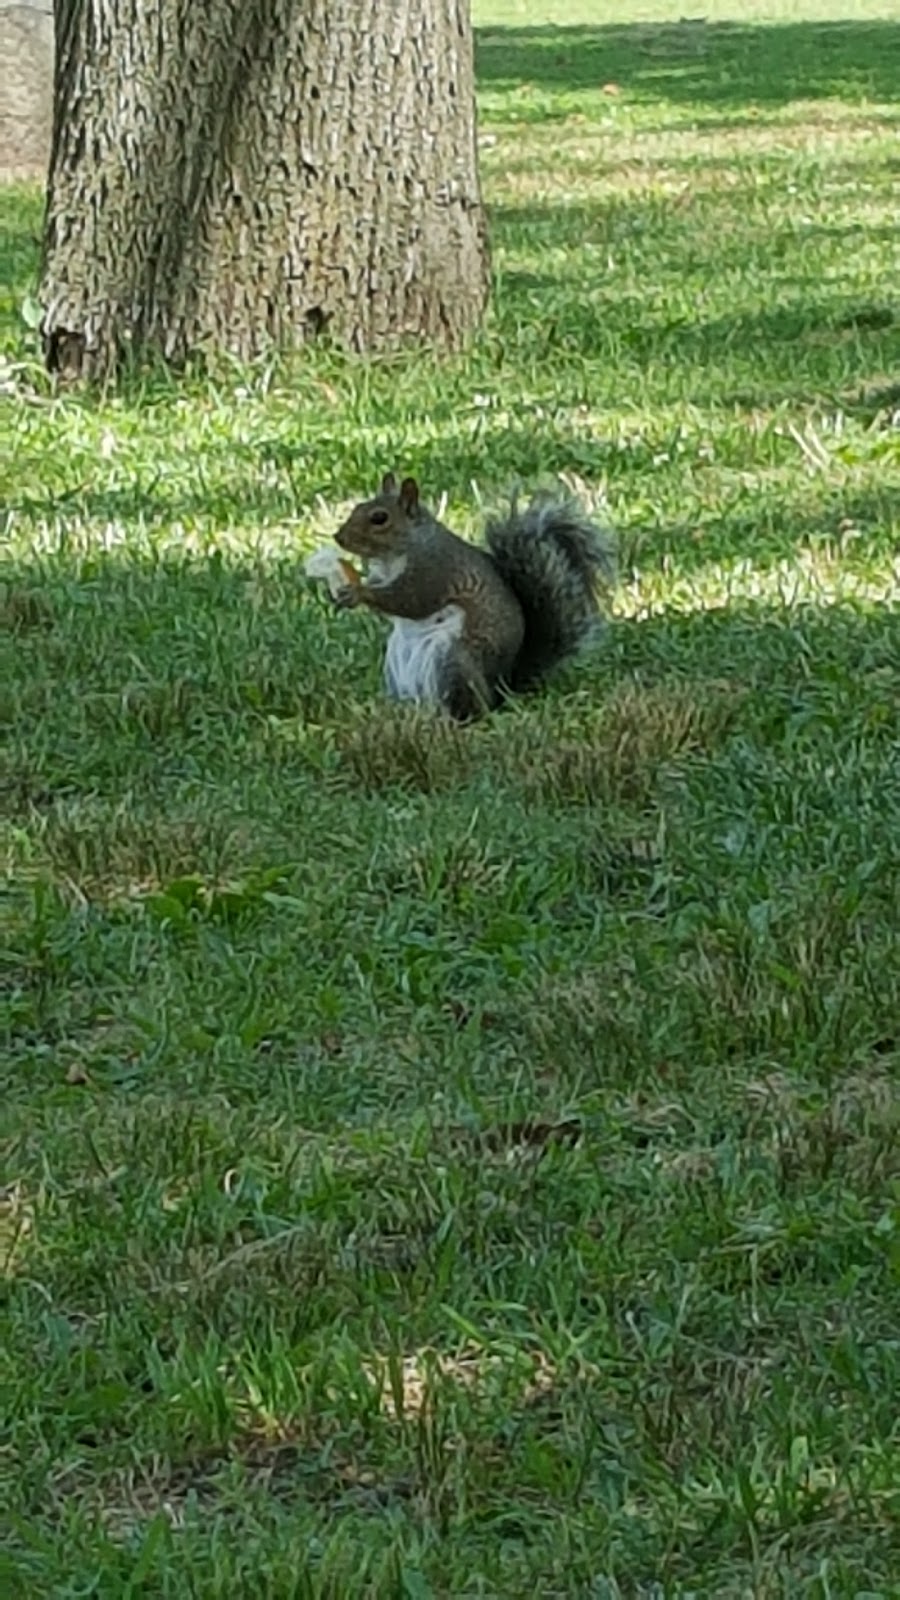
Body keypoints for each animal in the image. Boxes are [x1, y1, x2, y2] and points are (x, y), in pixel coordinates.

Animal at [331, 470, 614, 723]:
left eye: (379, 518)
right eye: (358, 507)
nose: (338, 537)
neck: (397, 554)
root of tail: (501, 688)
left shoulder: (435, 569)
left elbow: (410, 600)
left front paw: (358, 592)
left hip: (453, 661)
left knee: (469, 709)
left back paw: (448, 721)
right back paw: (398, 712)